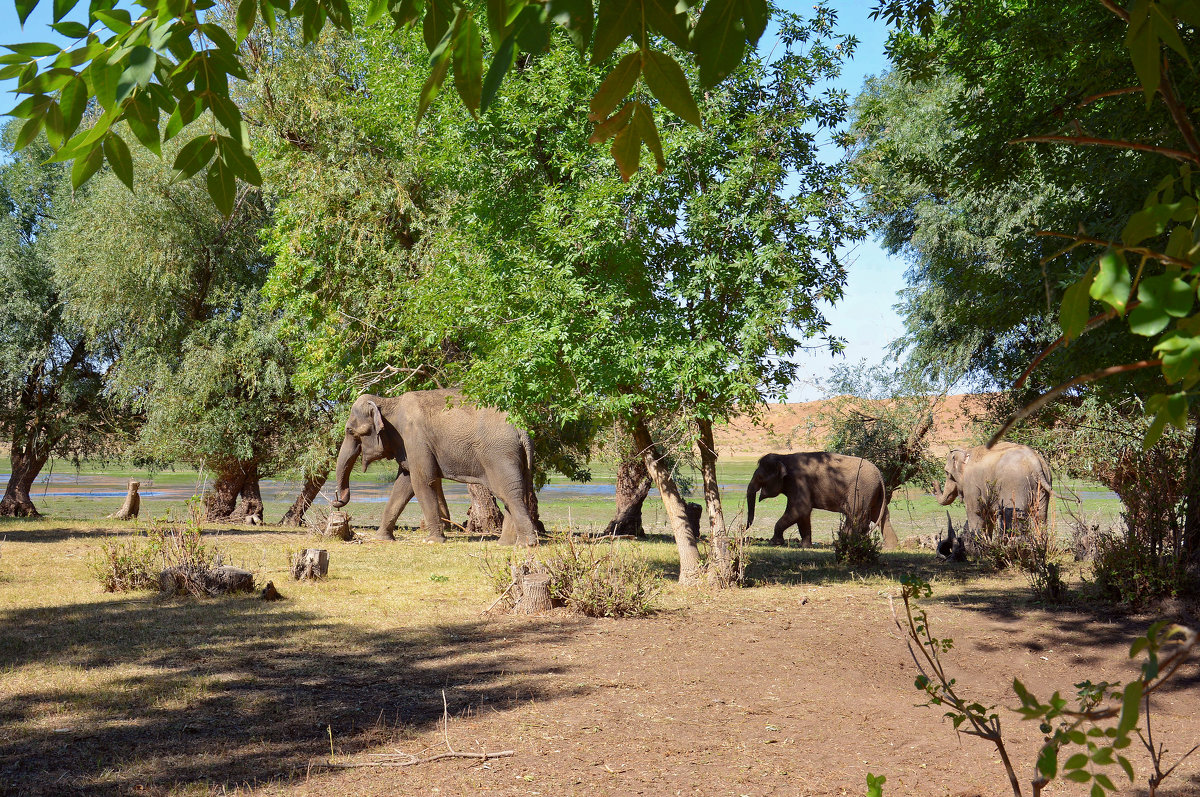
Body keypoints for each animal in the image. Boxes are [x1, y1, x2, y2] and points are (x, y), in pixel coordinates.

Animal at [326, 388, 537, 544]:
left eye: (350, 431)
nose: (336, 500)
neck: (389, 402)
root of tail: (521, 429)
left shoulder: (415, 438)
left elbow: (421, 482)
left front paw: (433, 541)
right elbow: (404, 484)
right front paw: (382, 539)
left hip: (499, 455)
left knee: (509, 493)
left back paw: (526, 544)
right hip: (516, 458)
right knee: (515, 493)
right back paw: (506, 544)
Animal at [739, 451, 902, 552]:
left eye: (760, 477)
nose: (741, 529)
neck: (784, 457)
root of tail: (879, 474)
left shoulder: (799, 481)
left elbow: (800, 509)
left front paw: (774, 542)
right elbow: (803, 515)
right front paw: (806, 546)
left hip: (861, 490)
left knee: (856, 515)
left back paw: (844, 543)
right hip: (874, 494)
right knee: (882, 516)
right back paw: (890, 547)